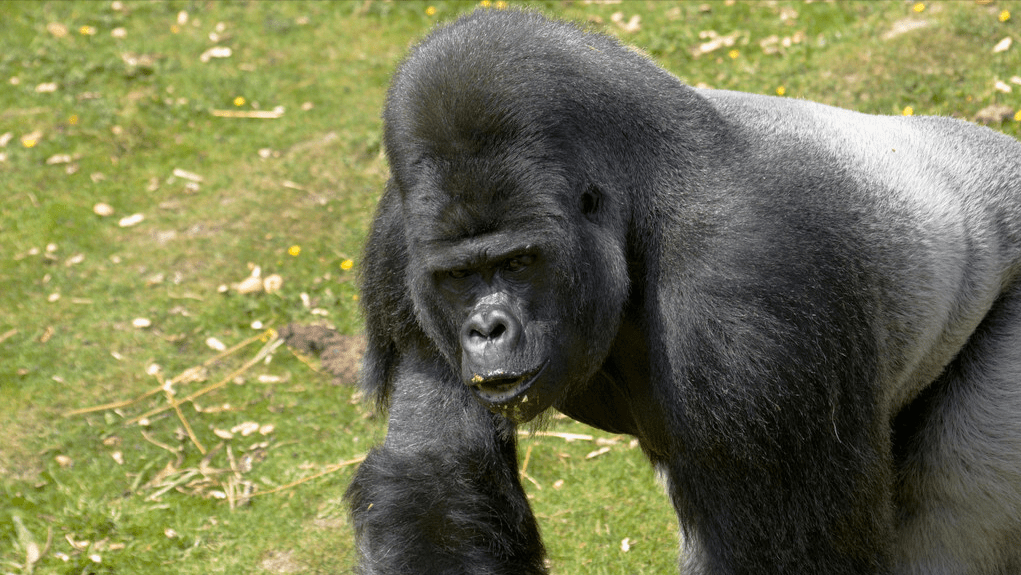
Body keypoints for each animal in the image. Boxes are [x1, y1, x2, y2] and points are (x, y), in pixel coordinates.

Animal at [345, 9, 1021, 575]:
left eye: (520, 263)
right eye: (459, 277)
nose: (487, 329)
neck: (636, 194)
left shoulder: (750, 299)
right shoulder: (398, 247)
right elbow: (436, 475)